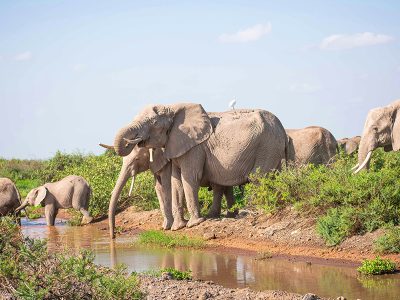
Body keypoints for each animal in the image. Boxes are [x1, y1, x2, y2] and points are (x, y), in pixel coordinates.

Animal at [112, 103, 288, 230]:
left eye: (153, 123)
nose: (131, 141)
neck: (173, 108)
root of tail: (282, 128)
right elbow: (176, 181)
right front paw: (177, 227)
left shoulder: (194, 148)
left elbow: (189, 178)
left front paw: (193, 224)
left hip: (267, 146)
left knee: (258, 178)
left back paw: (251, 213)